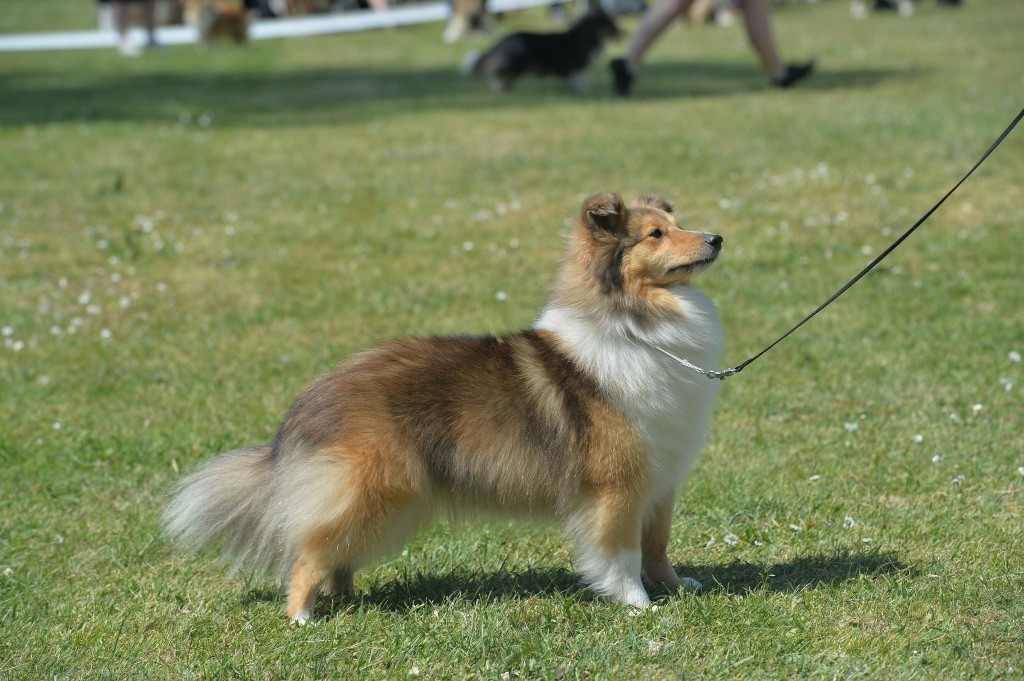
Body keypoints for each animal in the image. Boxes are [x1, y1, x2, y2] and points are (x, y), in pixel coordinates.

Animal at [163, 192, 724, 622]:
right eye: (655, 235)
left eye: (675, 224)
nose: (717, 238)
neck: (636, 326)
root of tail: (311, 398)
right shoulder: (617, 486)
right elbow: (622, 553)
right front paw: (639, 605)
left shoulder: (660, 479)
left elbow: (657, 545)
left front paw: (677, 587)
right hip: (377, 490)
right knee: (309, 552)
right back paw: (302, 617)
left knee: (333, 552)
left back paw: (343, 600)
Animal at [464, 8, 622, 93]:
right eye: (612, 26)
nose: (624, 33)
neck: (588, 35)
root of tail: (504, 40)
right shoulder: (576, 65)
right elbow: (581, 80)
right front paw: (584, 92)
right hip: (516, 63)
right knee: (496, 72)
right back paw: (499, 89)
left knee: (504, 76)